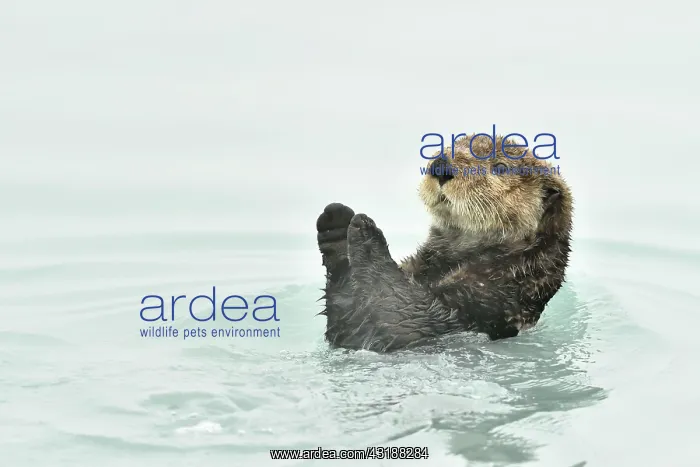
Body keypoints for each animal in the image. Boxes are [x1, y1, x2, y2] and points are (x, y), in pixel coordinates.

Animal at [315, 134, 573, 353]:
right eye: (448, 147)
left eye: (501, 167)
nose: (441, 164)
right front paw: (335, 224)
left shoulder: (487, 302)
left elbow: (400, 314)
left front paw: (365, 230)